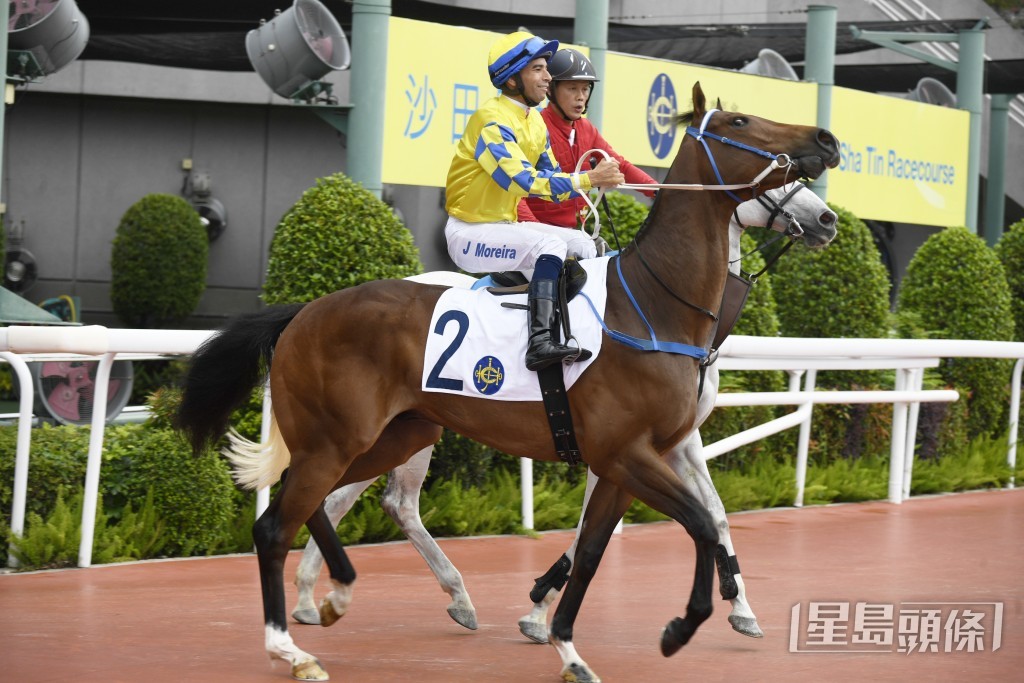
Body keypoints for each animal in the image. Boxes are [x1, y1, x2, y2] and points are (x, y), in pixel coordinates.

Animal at [287, 181, 839, 643]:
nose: (827, 217)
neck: (661, 313)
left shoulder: (677, 440)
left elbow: (717, 515)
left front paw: (742, 607)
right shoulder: (615, 443)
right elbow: (589, 528)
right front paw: (538, 607)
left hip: (412, 425)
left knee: (376, 500)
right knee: (357, 497)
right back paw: (324, 594)